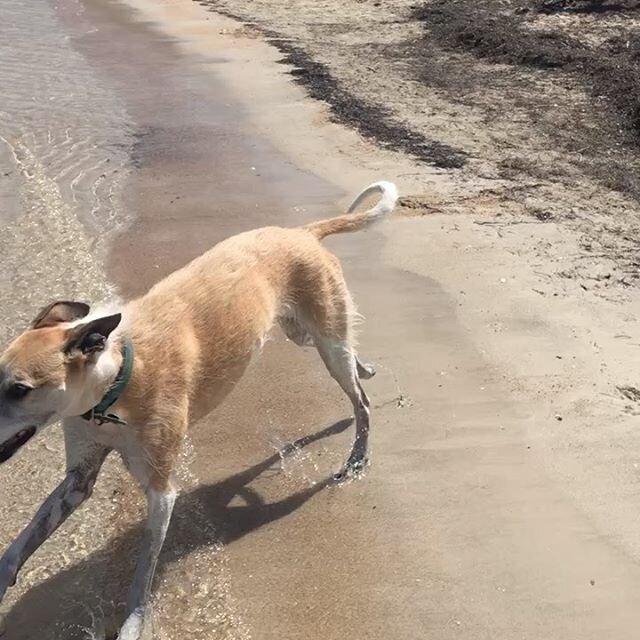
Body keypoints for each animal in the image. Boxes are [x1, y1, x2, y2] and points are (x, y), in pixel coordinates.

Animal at [0, 180, 398, 640]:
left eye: (20, 389)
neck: (115, 381)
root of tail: (303, 232)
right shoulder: (78, 475)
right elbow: (23, 541)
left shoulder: (161, 491)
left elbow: (143, 575)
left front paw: (133, 624)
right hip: (302, 332)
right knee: (351, 360)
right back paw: (365, 368)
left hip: (325, 341)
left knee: (361, 400)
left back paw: (357, 458)